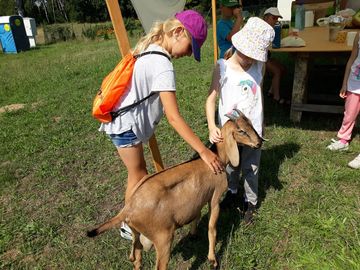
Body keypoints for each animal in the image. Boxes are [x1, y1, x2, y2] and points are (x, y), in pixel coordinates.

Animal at [87, 108, 262, 268]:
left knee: (136, 257)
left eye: (250, 124)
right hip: (163, 239)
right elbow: (212, 229)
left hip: (137, 234)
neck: (216, 158)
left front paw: (193, 234)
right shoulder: (215, 197)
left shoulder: (198, 198)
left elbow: (197, 215)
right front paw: (212, 260)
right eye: (241, 130)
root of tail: (128, 209)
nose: (259, 142)